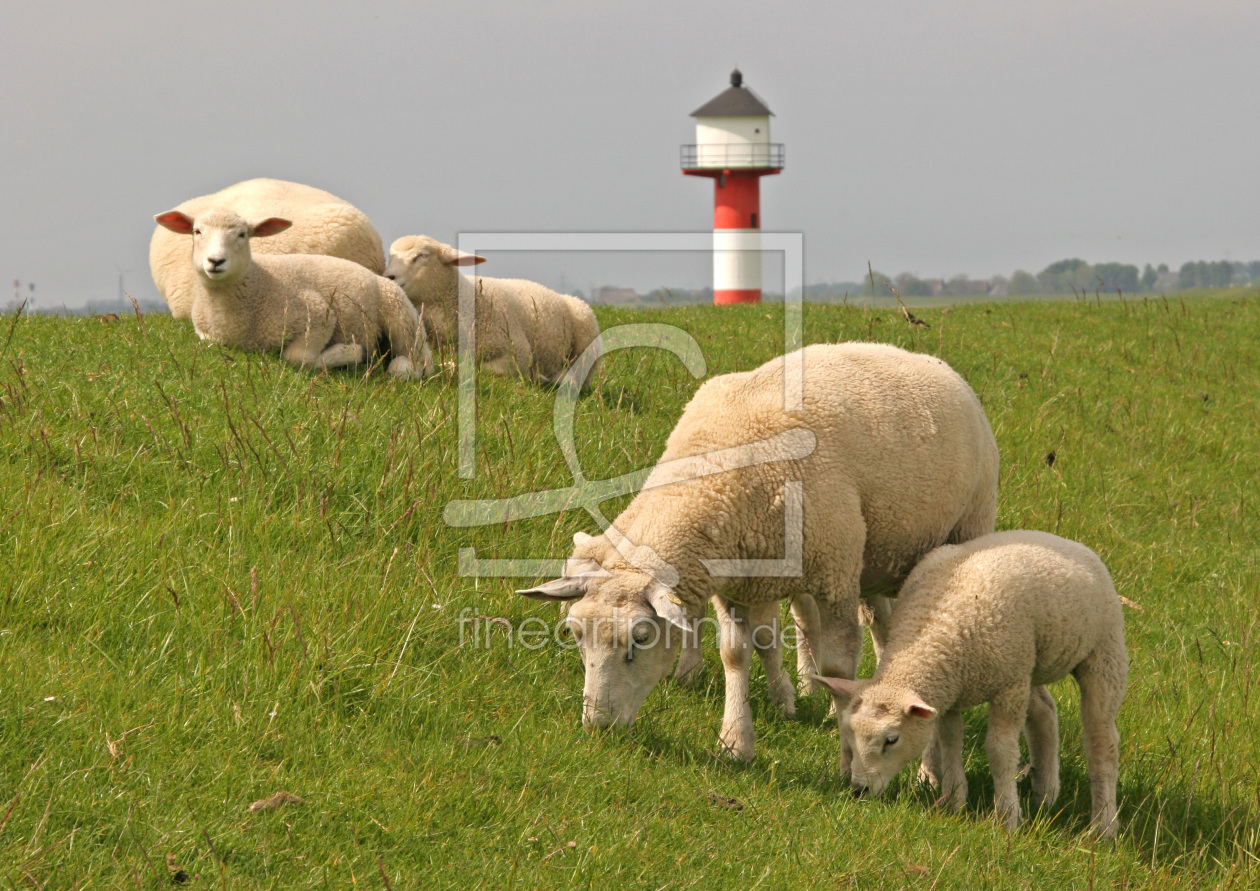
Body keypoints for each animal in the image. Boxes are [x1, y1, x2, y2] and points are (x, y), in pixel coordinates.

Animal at [153, 207, 433, 378]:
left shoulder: (318, 312)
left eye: (243, 234)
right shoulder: (207, 335)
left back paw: (399, 366)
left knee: (421, 362)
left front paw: (349, 352)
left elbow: (297, 357)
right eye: (197, 231)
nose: (215, 261)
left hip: (401, 316)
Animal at [380, 236, 602, 390]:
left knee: (581, 377)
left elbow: (478, 368)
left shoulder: (517, 351)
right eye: (390, 256)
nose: (388, 276)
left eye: (422, 255)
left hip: (588, 337)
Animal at [516, 342, 997, 761]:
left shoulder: (835, 572)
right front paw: (736, 741)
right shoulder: (739, 579)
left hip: (960, 528)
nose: (597, 726)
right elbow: (736, 653)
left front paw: (843, 732)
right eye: (575, 634)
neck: (716, 470)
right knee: (878, 619)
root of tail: (922, 358)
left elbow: (839, 664)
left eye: (641, 637)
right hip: (874, 555)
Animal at [816, 534, 1134, 841]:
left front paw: (1007, 818)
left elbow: (1000, 751)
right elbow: (950, 742)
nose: (859, 790)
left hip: (1102, 652)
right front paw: (953, 801)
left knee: (1102, 741)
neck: (933, 631)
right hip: (1030, 661)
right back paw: (1046, 793)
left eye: (891, 740)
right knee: (1045, 711)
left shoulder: (1009, 686)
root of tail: (1065, 541)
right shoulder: (950, 692)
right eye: (849, 733)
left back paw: (1104, 825)